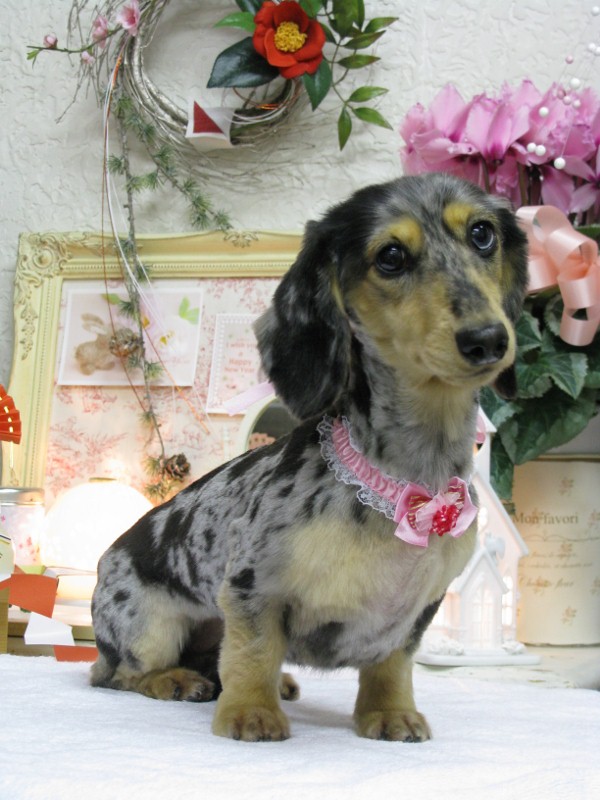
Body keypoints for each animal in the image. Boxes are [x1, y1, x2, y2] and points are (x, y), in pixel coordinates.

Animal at [90, 173, 528, 742]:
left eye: (482, 234)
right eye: (390, 256)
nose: (487, 339)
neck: (406, 480)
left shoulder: (416, 612)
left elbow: (391, 665)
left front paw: (389, 713)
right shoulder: (252, 586)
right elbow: (254, 653)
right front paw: (250, 712)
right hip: (149, 627)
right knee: (120, 674)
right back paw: (177, 681)